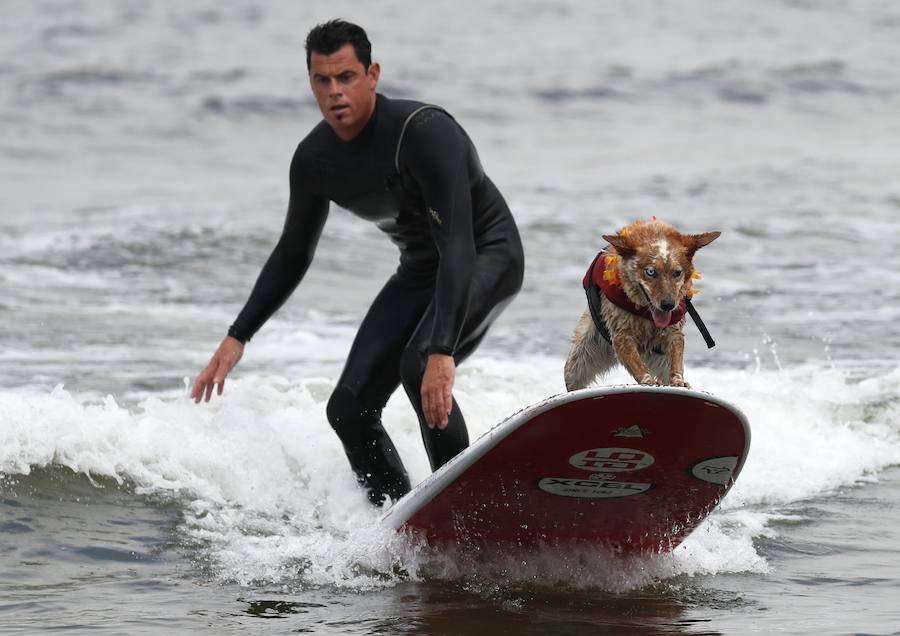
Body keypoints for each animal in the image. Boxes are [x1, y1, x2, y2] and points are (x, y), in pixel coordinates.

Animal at [568, 219, 720, 390]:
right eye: (651, 272)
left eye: (677, 273)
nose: (668, 305)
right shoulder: (622, 335)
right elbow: (636, 363)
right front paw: (648, 381)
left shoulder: (674, 332)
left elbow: (676, 357)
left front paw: (678, 382)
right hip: (580, 360)